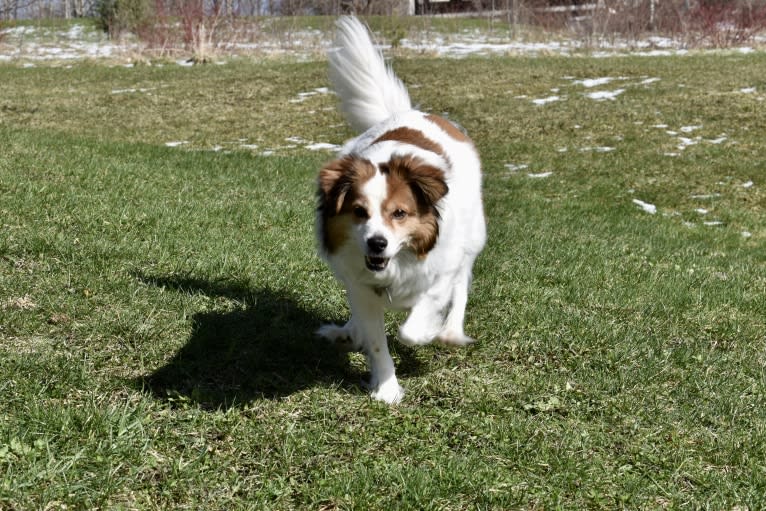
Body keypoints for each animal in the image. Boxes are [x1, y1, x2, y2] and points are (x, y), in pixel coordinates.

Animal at [314, 16, 484, 406]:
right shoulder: (361, 287)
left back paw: (450, 330)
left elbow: (414, 325)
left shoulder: (441, 269)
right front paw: (387, 387)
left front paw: (426, 330)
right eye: (358, 211)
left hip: (473, 238)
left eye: (400, 213)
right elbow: (377, 341)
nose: (376, 244)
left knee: (462, 287)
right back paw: (349, 331)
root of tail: (407, 113)